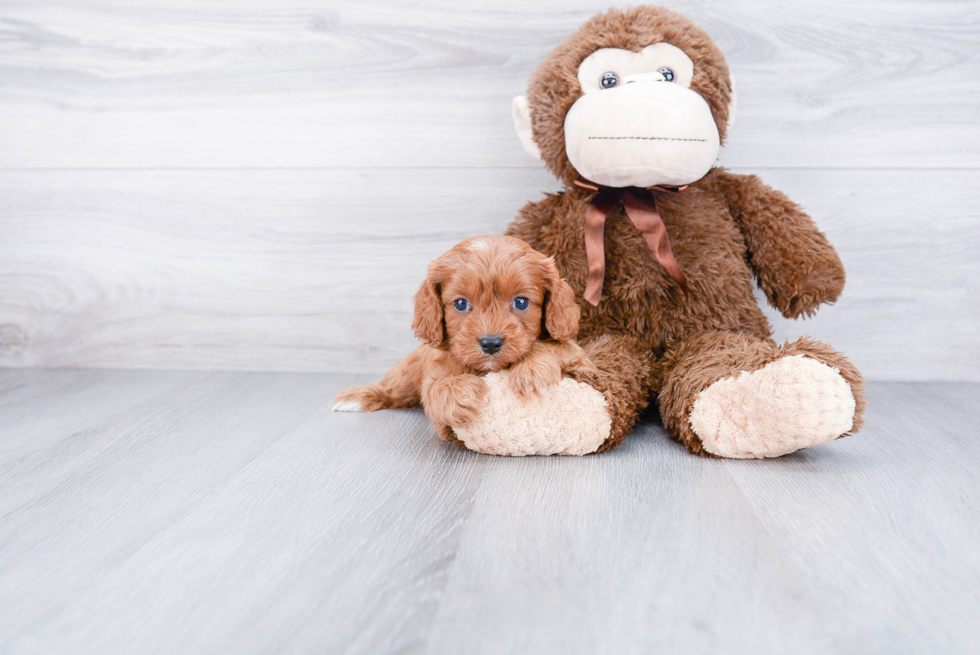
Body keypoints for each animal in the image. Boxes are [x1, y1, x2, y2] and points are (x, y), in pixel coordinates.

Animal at [334, 233, 596, 444]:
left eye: (521, 302)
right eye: (461, 303)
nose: (490, 343)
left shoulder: (582, 361)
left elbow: (553, 346)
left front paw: (532, 371)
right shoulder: (434, 373)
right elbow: (434, 390)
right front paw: (461, 394)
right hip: (408, 372)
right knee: (393, 388)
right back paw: (357, 396)